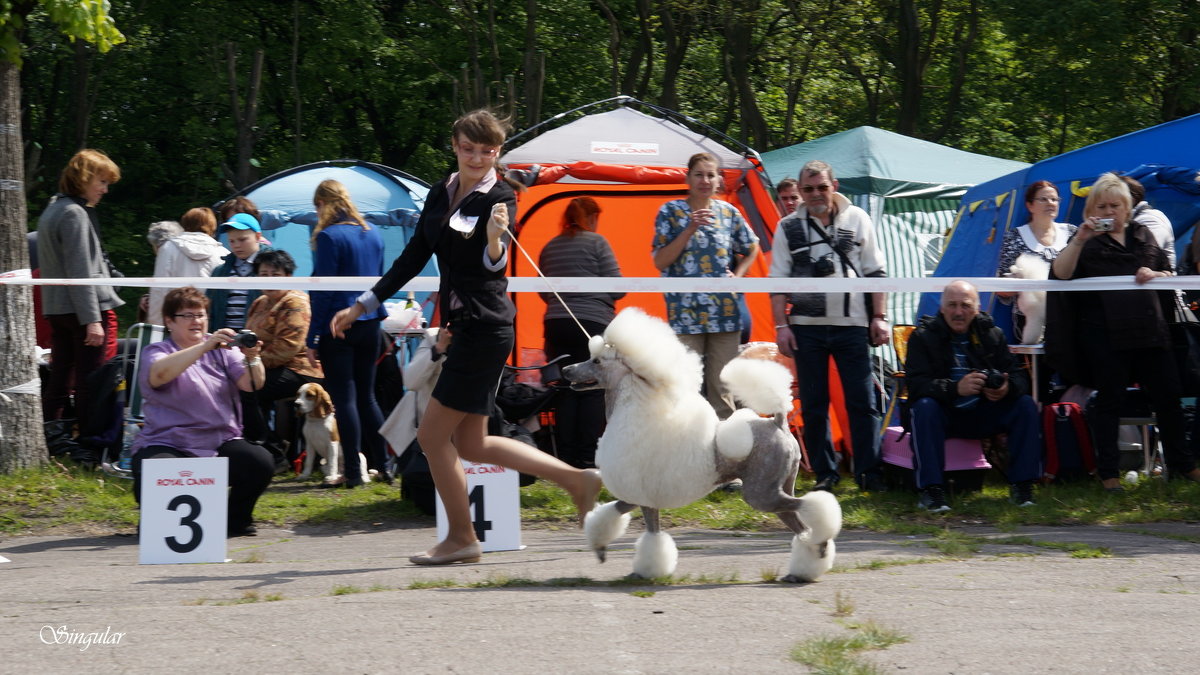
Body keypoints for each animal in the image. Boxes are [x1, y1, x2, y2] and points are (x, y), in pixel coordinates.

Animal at [561, 307, 844, 581]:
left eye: (596, 361)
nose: (565, 370)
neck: (634, 407)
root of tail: (778, 422)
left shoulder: (640, 492)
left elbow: (641, 529)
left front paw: (638, 568)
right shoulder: (640, 497)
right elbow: (625, 521)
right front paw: (613, 555)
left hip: (760, 492)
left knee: (811, 508)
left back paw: (821, 544)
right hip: (779, 485)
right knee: (798, 523)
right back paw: (805, 568)